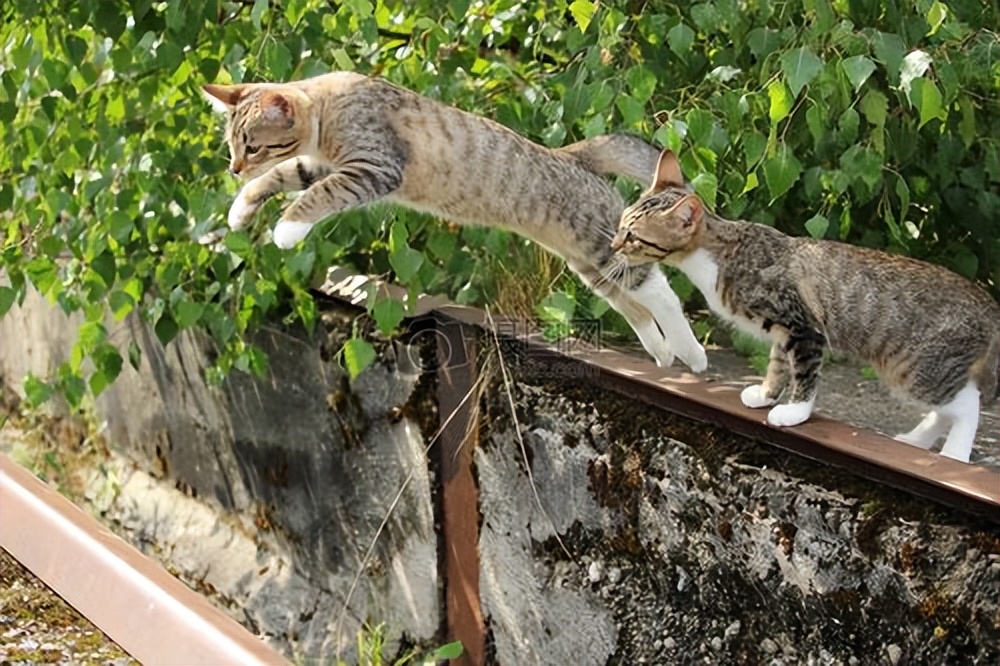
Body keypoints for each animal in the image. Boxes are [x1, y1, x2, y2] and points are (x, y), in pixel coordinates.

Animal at [199, 74, 708, 374]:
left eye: (252, 146)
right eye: (232, 146)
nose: (233, 168)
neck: (328, 106)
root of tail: (573, 154)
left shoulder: (373, 169)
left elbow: (314, 195)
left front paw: (287, 229)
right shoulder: (320, 163)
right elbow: (283, 176)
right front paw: (240, 209)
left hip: (604, 247)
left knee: (661, 293)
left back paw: (692, 354)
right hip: (590, 265)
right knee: (634, 305)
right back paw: (662, 351)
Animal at [608, 149, 1000, 462]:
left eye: (633, 236)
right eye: (622, 222)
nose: (612, 245)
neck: (721, 254)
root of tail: (987, 301)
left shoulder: (803, 326)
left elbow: (806, 374)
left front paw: (794, 412)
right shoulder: (783, 332)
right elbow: (779, 365)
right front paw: (766, 394)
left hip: (915, 368)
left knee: (968, 404)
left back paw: (954, 453)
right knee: (949, 407)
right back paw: (916, 440)